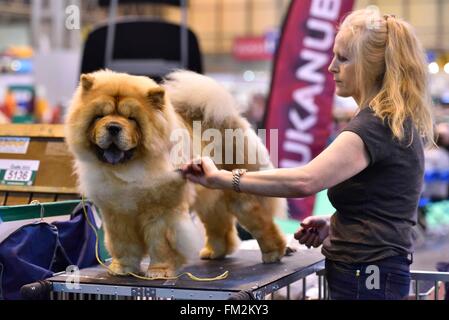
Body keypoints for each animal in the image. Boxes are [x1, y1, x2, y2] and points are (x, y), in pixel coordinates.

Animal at [65, 70, 286, 278]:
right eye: (100, 116)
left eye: (131, 119)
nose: (113, 127)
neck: (127, 169)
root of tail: (230, 119)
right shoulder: (117, 214)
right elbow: (122, 244)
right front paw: (123, 268)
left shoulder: (161, 212)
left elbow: (161, 244)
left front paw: (159, 271)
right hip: (210, 200)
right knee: (218, 224)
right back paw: (215, 253)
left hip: (243, 201)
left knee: (263, 224)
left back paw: (273, 253)